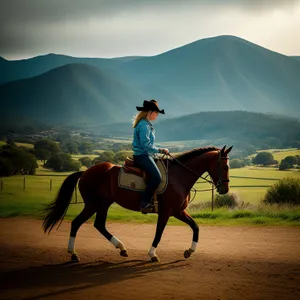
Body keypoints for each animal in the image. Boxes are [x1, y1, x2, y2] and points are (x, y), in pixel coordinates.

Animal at [43, 144, 233, 262]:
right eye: (225, 167)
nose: (224, 189)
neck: (178, 176)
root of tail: (85, 172)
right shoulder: (166, 212)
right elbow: (159, 233)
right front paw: (152, 254)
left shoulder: (178, 211)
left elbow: (196, 227)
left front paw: (189, 251)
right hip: (93, 205)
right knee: (77, 223)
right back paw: (74, 254)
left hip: (102, 205)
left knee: (99, 225)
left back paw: (121, 248)